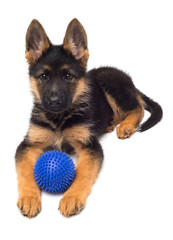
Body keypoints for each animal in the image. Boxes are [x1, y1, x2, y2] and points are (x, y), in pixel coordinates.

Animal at [14, 18, 162, 218]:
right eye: (44, 76)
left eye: (68, 76)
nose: (54, 102)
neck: (59, 119)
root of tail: (130, 81)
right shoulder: (28, 144)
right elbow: (25, 172)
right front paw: (29, 198)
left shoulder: (90, 146)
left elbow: (83, 172)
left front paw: (71, 197)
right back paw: (110, 124)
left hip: (110, 83)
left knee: (137, 107)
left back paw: (126, 126)